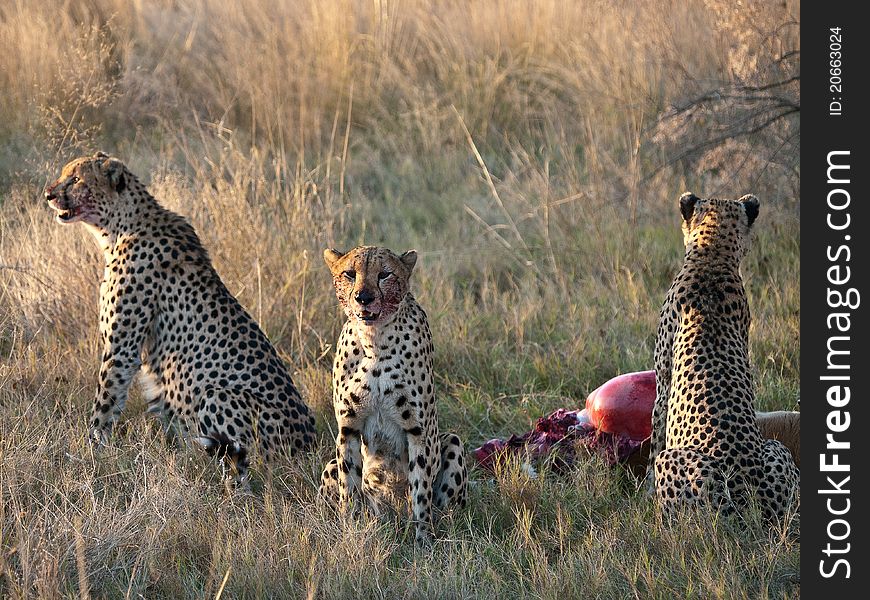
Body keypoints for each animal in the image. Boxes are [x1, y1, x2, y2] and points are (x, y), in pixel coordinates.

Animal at [44, 151, 316, 482]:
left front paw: (89, 452)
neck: (120, 226)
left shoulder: (121, 349)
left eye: (75, 179)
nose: (49, 195)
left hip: (216, 395)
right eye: (64, 174)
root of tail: (310, 445)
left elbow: (105, 403)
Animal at [318, 246, 470, 548]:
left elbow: (420, 490)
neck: (374, 340)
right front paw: (351, 534)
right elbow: (349, 490)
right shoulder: (348, 429)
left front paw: (422, 541)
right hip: (331, 464)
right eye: (349, 274)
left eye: (384, 274)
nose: (363, 297)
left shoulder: (419, 431)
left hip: (452, 442)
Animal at [652, 193, 800, 520]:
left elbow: (655, 430)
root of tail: (754, 504)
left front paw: (640, 492)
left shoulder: (662, 380)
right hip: (777, 449)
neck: (713, 256)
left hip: (677, 464)